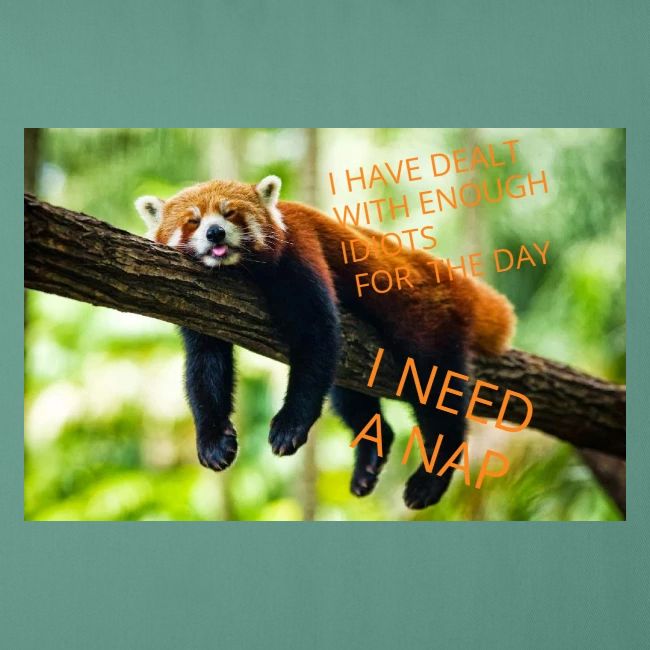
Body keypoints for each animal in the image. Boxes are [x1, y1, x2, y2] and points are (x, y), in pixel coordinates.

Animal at [135, 175, 515, 509]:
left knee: (436, 391)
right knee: (348, 395)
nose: (215, 232)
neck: (238, 270)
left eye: (230, 214)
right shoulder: (200, 304)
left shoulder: (300, 252)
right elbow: (205, 366)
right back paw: (370, 457)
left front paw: (290, 425)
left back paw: (431, 477)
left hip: (427, 321)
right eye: (193, 221)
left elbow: (317, 336)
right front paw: (213, 440)